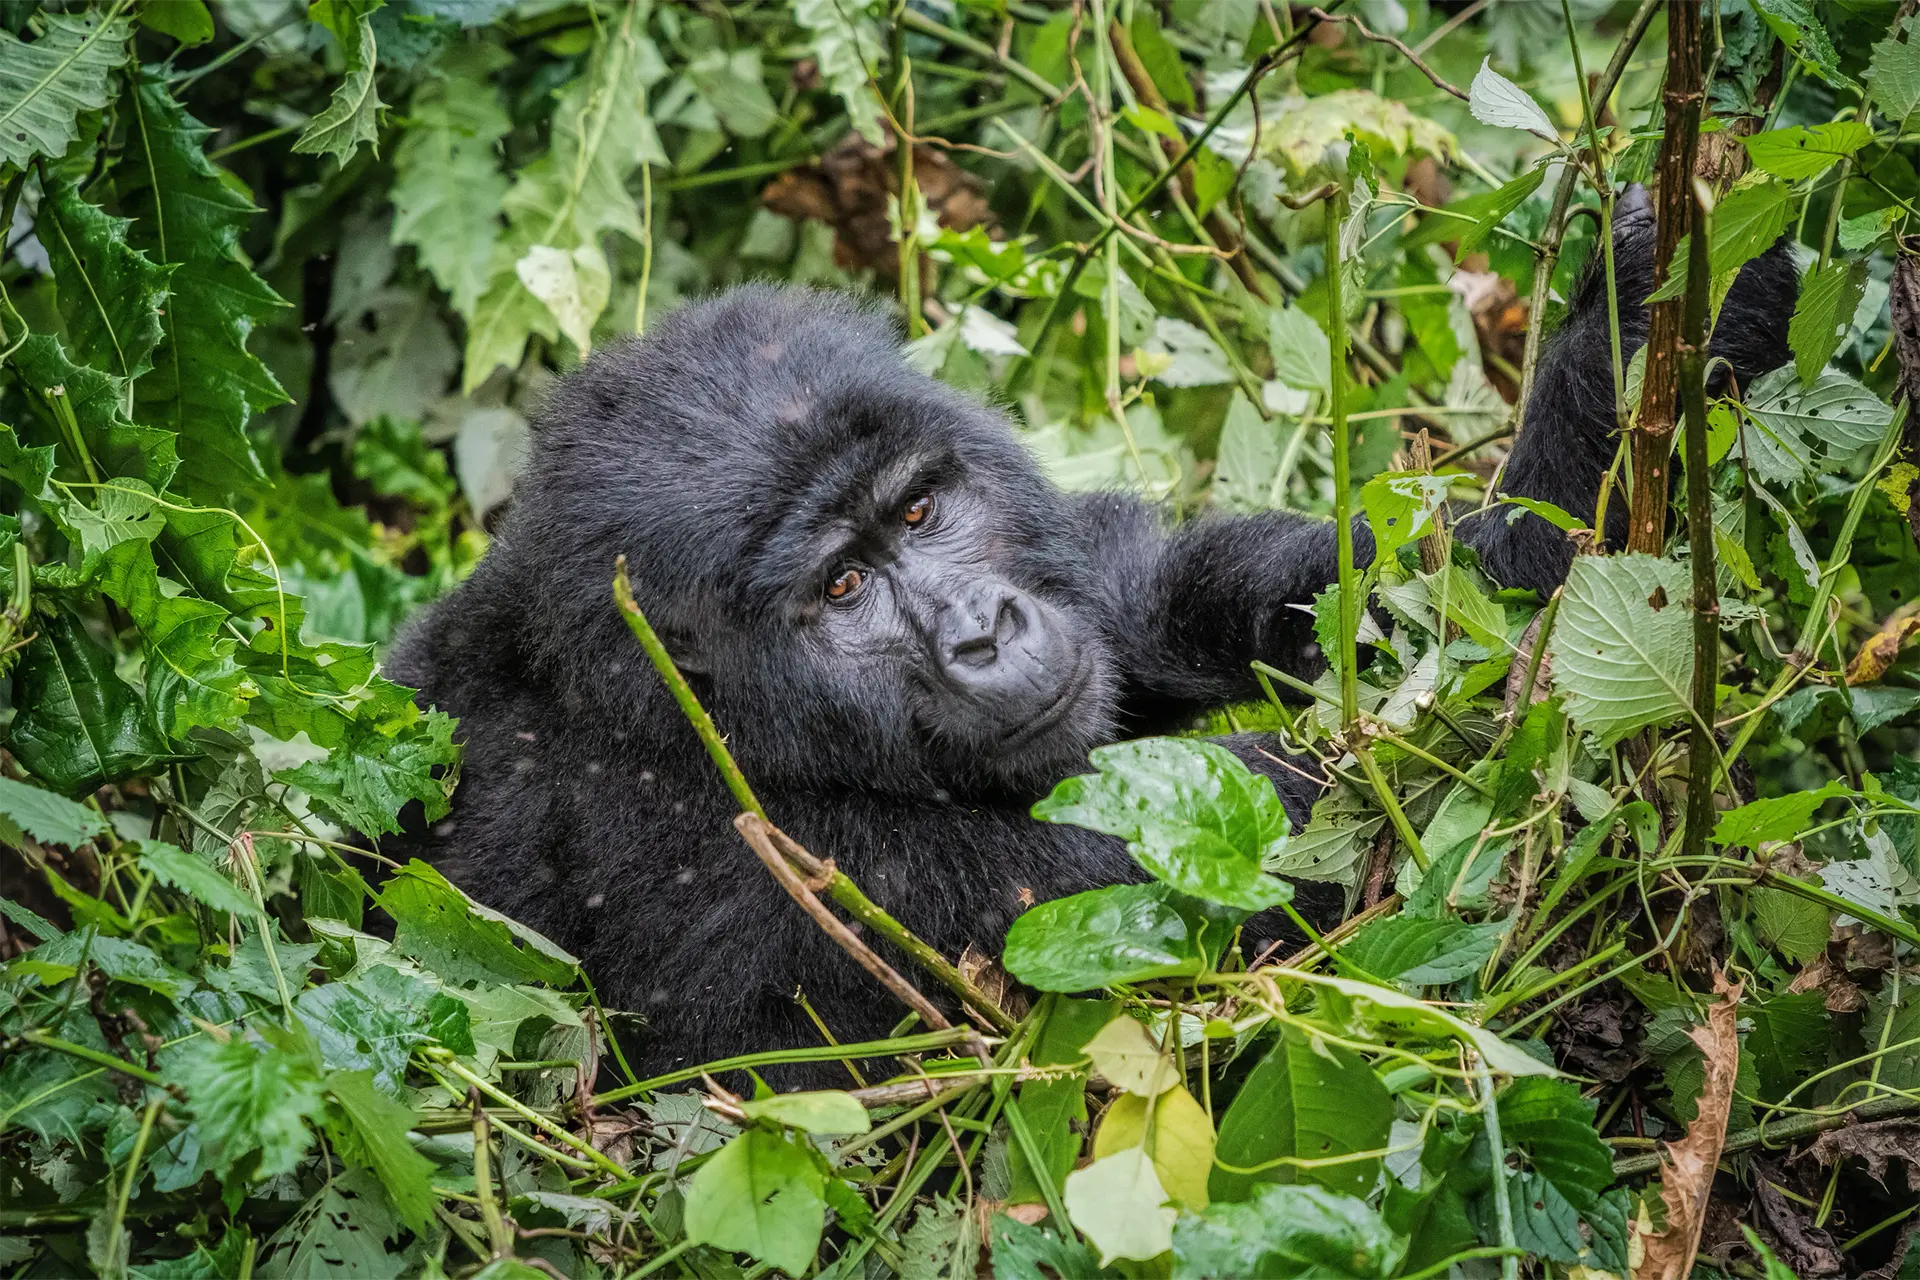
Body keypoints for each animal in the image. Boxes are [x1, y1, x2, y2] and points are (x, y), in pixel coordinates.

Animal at [383, 188, 1797, 1077]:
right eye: (842, 589)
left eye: (921, 507)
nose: (981, 629)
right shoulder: (741, 855)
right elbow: (1315, 848)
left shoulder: (1077, 575)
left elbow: (1400, 602)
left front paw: (1649, 318)